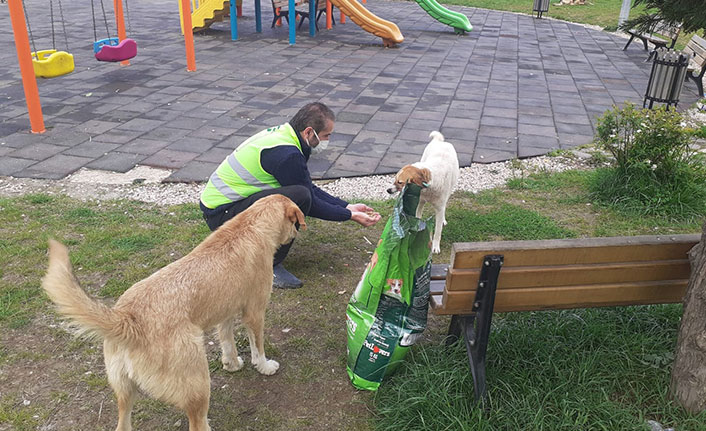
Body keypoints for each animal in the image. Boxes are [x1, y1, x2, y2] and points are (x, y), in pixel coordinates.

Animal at [41, 195, 306, 431]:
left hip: (125, 393)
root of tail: (127, 319)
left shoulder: (225, 314)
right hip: (198, 384)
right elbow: (257, 348)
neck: (251, 225)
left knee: (123, 425)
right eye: (295, 222)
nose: (297, 232)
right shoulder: (254, 313)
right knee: (197, 424)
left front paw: (232, 365)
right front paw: (265, 366)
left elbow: (227, 344)